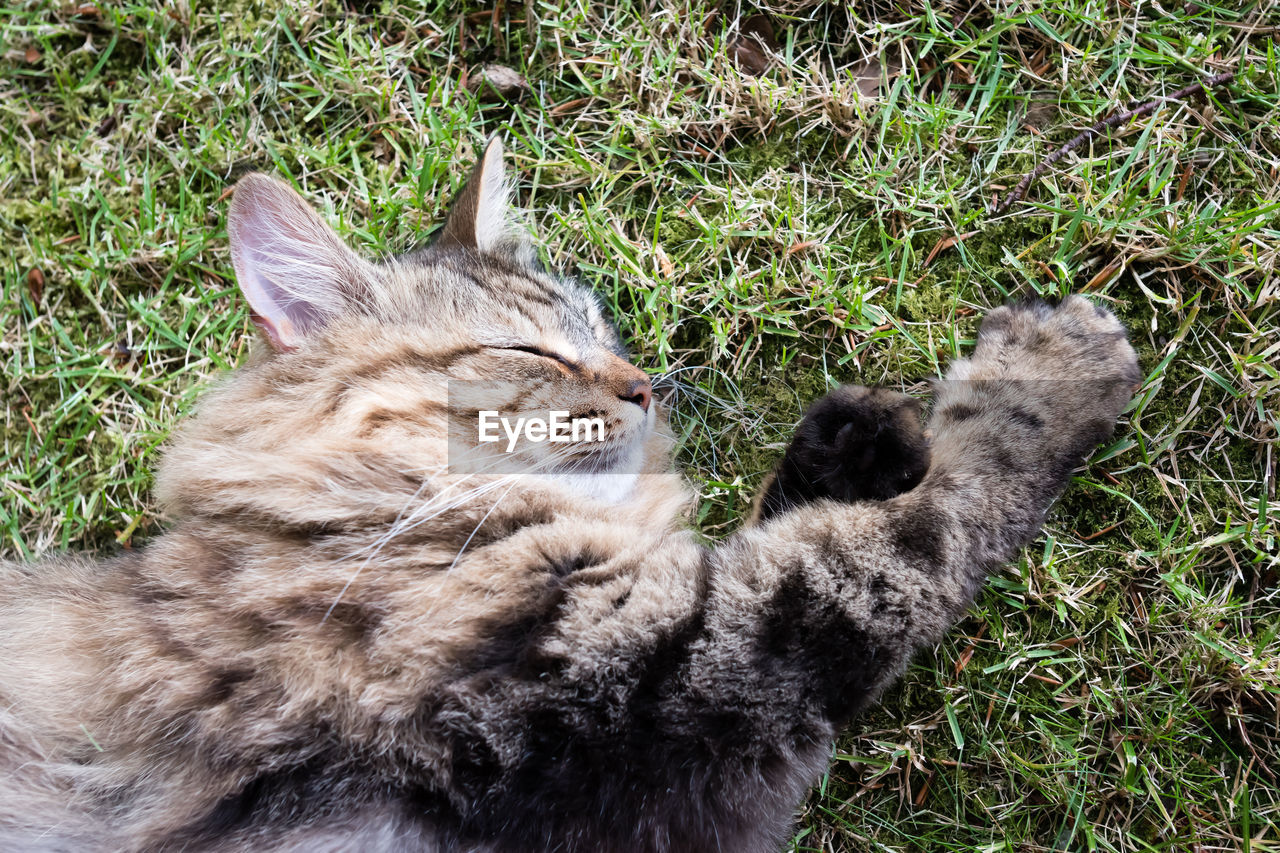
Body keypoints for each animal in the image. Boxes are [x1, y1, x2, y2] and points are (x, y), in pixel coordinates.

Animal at [0, 140, 1141, 850]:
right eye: (528, 351)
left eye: (601, 330)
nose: (643, 386)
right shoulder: (688, 668)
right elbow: (936, 512)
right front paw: (1054, 370)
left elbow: (813, 510)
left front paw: (854, 441)